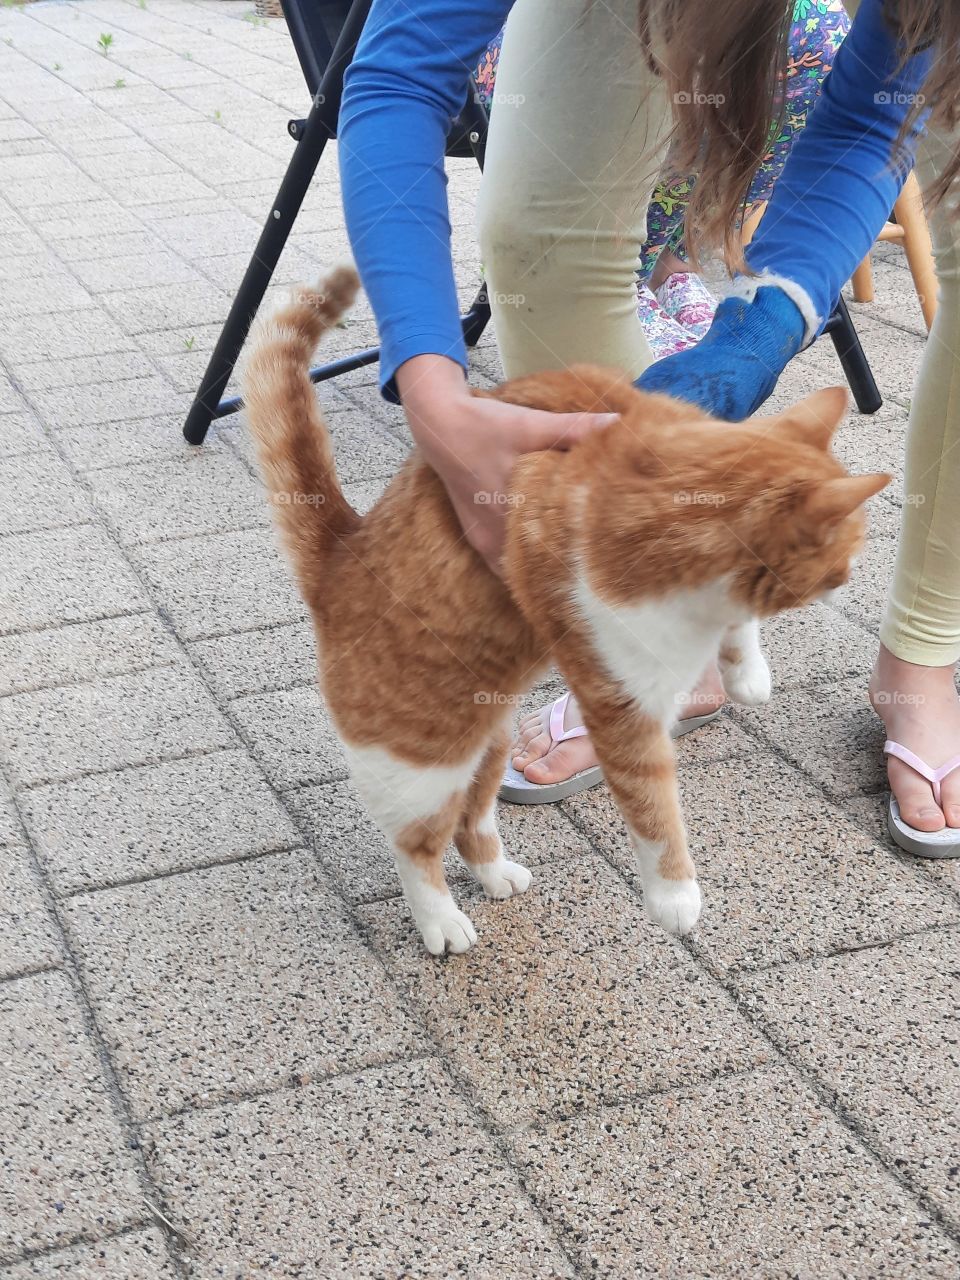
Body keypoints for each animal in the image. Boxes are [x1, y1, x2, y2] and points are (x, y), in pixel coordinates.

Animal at [244, 267, 890, 952]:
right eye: (841, 562)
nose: (850, 579)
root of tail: (342, 552)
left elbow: (739, 622)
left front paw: (747, 673)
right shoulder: (622, 706)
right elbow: (652, 807)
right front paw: (674, 896)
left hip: (490, 742)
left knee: (472, 819)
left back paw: (495, 872)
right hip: (424, 761)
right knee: (416, 847)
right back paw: (440, 919)